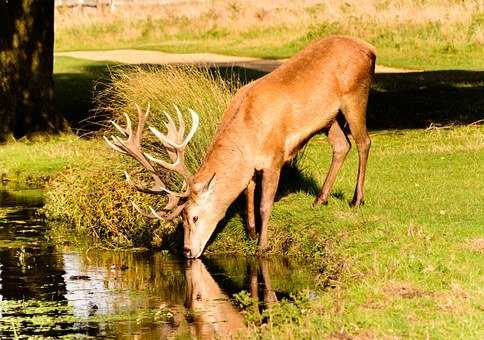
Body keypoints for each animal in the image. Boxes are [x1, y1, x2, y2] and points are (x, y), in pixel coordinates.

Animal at [106, 35, 376, 258]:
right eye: (181, 218)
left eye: (194, 216)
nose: (187, 251)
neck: (248, 135)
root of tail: (370, 50)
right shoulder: (251, 167)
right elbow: (248, 197)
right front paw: (252, 233)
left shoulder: (274, 157)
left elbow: (264, 204)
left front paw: (262, 246)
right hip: (329, 118)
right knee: (342, 145)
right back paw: (320, 200)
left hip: (355, 95)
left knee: (364, 142)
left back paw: (357, 200)